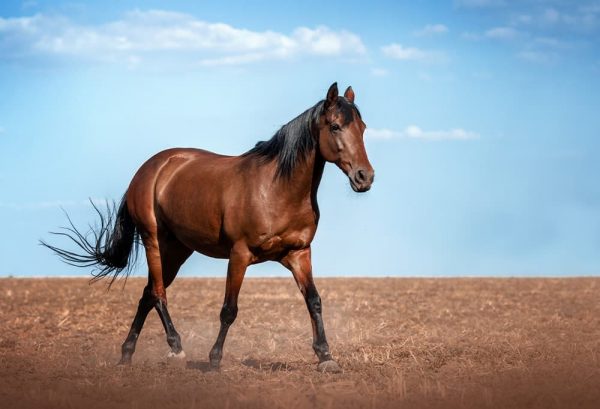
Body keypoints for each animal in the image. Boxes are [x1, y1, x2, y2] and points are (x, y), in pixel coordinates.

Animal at [43, 81, 376, 372]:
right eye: (335, 126)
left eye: (362, 128)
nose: (365, 177)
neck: (276, 189)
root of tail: (148, 169)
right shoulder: (239, 255)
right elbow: (229, 309)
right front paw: (214, 360)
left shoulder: (299, 254)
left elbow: (314, 301)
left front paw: (326, 357)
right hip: (154, 241)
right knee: (159, 294)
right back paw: (176, 349)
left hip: (178, 250)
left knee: (148, 294)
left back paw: (127, 355)